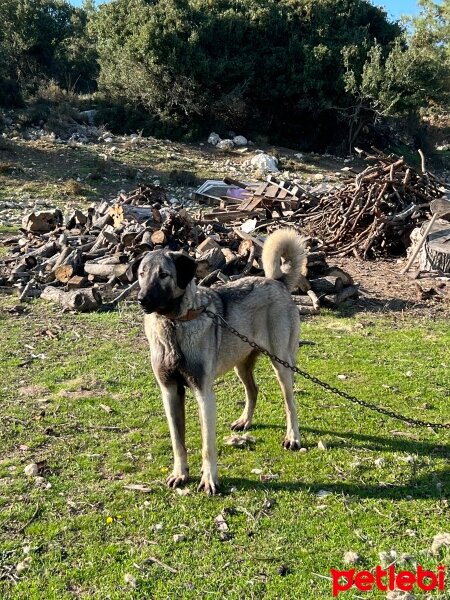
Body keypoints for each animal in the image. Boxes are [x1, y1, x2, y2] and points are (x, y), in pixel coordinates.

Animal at [136, 227, 306, 494]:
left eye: (163, 275)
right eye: (142, 274)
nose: (142, 299)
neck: (174, 325)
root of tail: (276, 282)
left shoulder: (204, 394)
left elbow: (208, 446)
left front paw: (209, 480)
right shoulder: (170, 392)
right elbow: (177, 441)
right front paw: (180, 474)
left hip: (281, 364)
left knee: (290, 403)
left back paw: (293, 437)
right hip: (241, 364)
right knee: (253, 390)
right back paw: (245, 421)